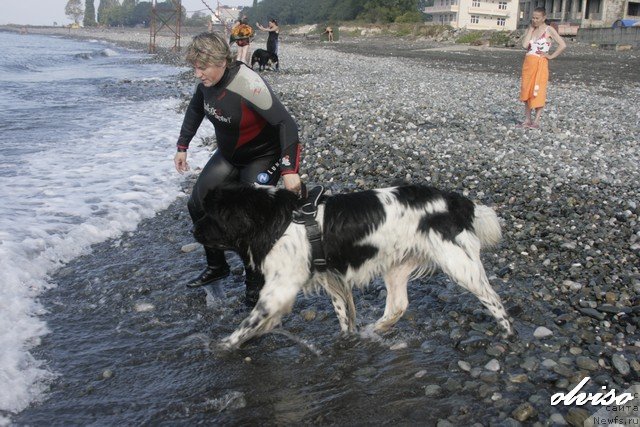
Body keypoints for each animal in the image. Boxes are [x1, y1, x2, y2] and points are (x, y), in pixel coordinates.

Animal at [192, 182, 512, 350]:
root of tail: (455, 200)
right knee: (398, 305)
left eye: (210, 215)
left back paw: (508, 334)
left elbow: (249, 322)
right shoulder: (329, 276)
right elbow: (343, 313)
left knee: (492, 297)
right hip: (396, 265)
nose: (194, 231)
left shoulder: (280, 289)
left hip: (457, 262)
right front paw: (348, 338)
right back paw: (375, 329)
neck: (272, 218)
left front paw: (222, 346)